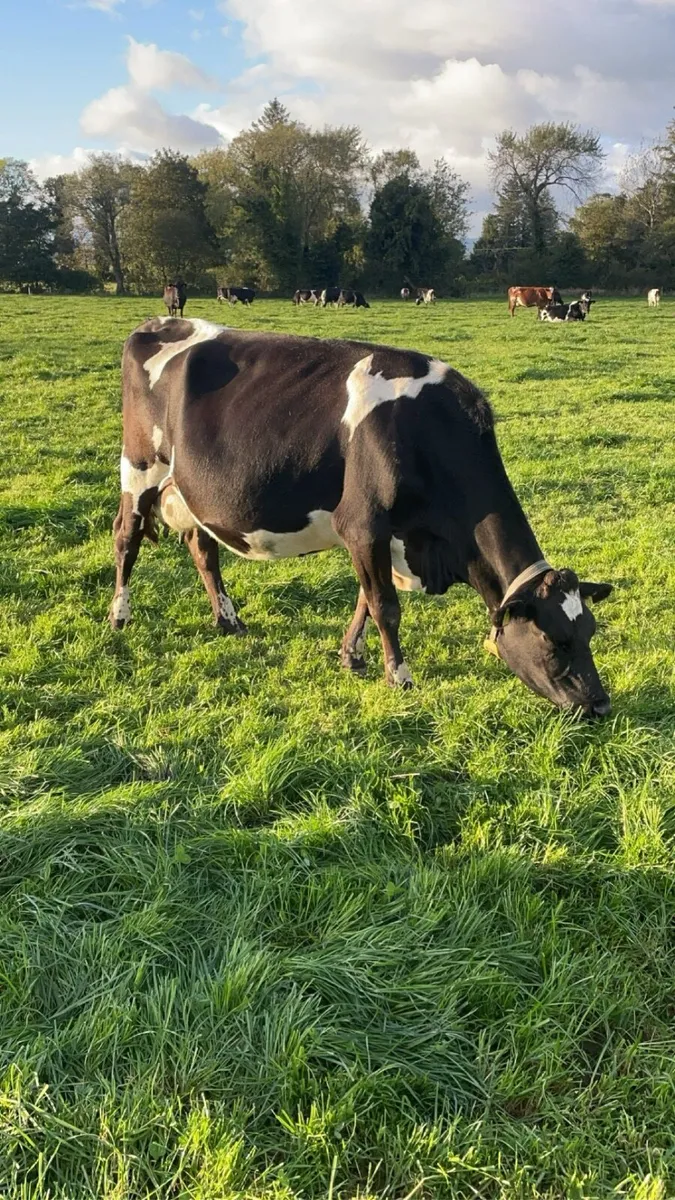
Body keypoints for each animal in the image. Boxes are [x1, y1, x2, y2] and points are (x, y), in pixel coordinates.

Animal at [109, 317, 613, 716]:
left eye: (589, 631)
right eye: (554, 640)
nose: (600, 705)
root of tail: (159, 322)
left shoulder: (378, 535)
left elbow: (366, 599)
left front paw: (351, 656)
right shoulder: (362, 523)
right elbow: (385, 606)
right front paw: (400, 677)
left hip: (188, 490)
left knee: (203, 548)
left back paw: (228, 620)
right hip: (139, 467)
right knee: (126, 538)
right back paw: (119, 615)